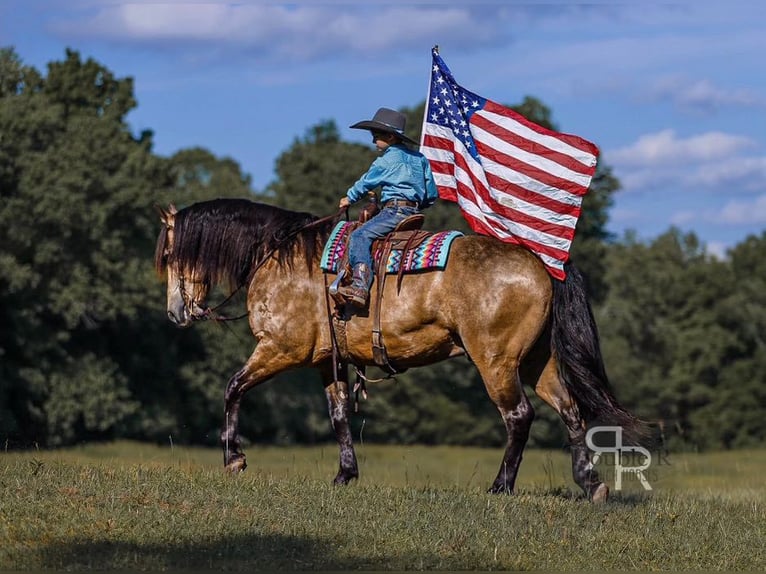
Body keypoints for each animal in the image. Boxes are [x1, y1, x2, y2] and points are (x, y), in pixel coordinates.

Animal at [158, 199, 648, 504]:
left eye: (167, 254)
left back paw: (501, 486)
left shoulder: (281, 349)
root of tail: (541, 264)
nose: (176, 312)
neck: (281, 258)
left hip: (496, 362)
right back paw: (590, 483)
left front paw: (234, 459)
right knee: (570, 411)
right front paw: (345, 474)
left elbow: (233, 388)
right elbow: (339, 416)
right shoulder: (327, 362)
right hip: (535, 361)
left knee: (519, 417)